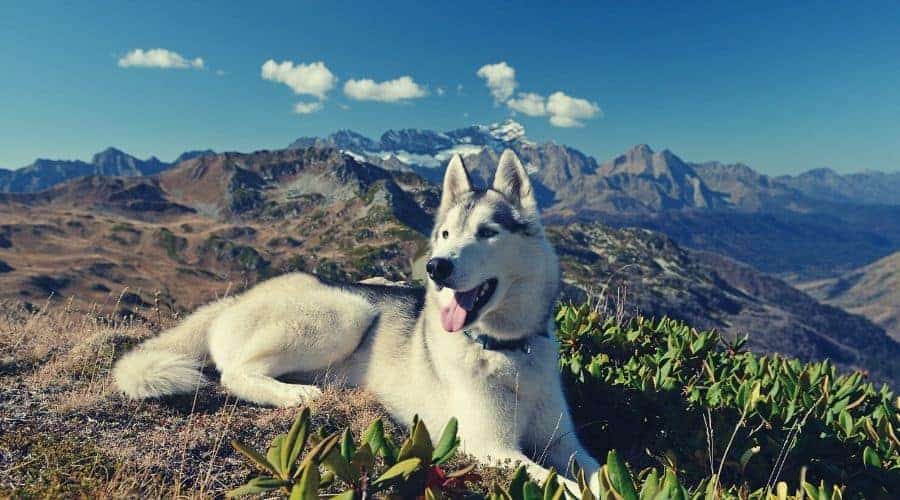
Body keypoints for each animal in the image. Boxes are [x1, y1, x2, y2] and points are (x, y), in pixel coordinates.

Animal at [116, 149, 600, 480]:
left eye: (487, 232)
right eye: (445, 234)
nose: (436, 267)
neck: (508, 352)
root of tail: (233, 301)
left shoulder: (565, 443)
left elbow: (595, 474)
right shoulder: (488, 443)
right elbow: (558, 483)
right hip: (346, 314)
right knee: (233, 373)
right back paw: (297, 395)